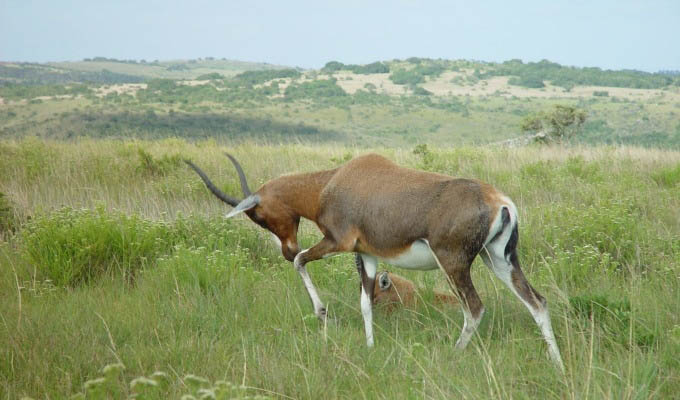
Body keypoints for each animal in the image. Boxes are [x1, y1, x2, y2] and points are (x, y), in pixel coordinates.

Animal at [185, 152, 564, 368]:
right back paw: (557, 364)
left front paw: (322, 313)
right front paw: (369, 346)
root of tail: (498, 200)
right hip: (499, 260)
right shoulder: (365, 253)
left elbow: (302, 264)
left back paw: (454, 354)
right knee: (538, 302)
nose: (286, 248)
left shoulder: (337, 242)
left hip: (454, 264)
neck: (335, 180)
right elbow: (366, 302)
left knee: (475, 308)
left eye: (258, 215)